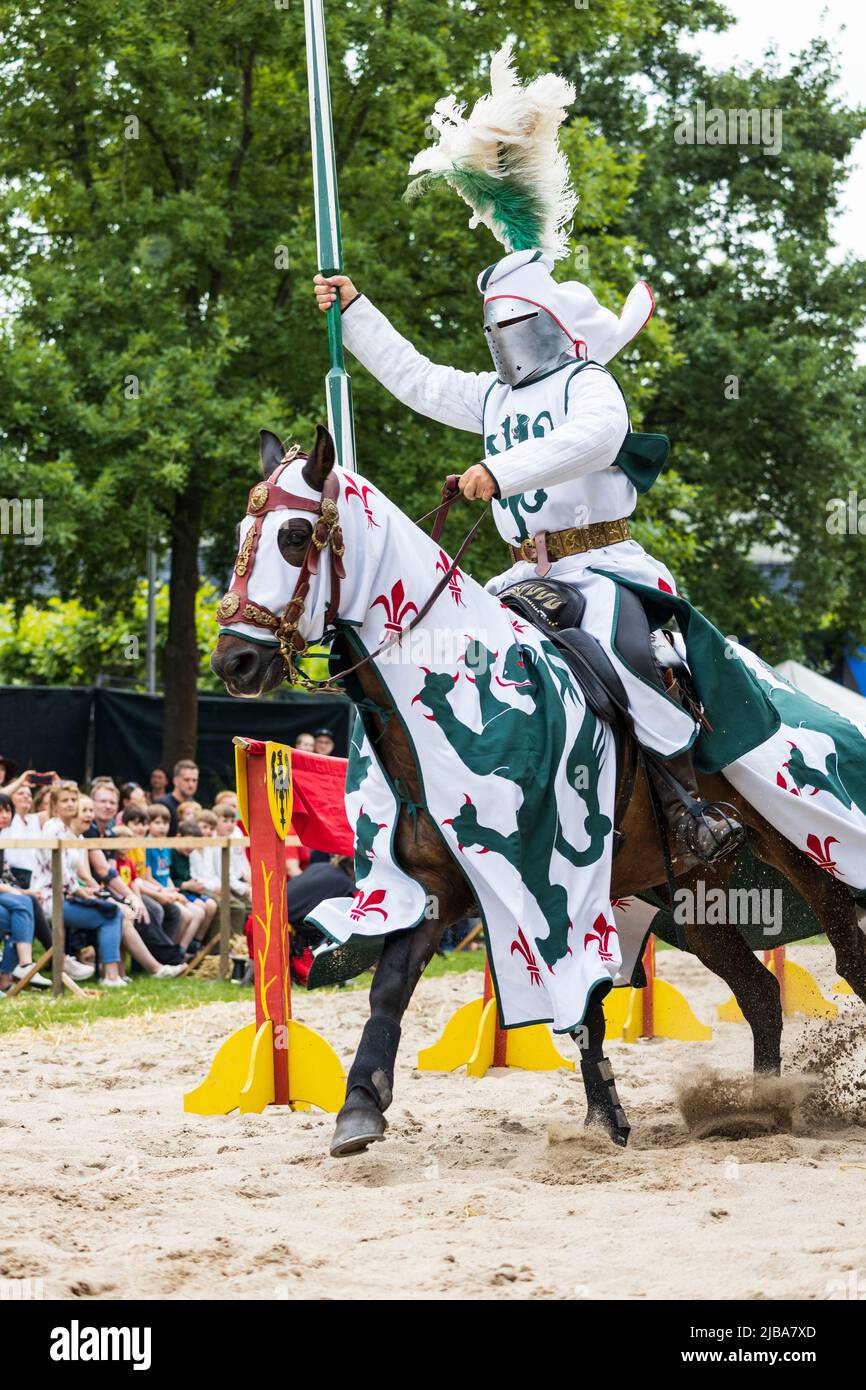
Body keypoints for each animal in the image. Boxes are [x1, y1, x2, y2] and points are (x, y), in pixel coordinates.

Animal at [211, 428, 866, 1156]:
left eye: (296, 535)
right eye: (238, 533)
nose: (234, 662)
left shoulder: (552, 887)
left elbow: (580, 1004)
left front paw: (604, 1119)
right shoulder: (436, 888)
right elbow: (389, 988)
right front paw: (358, 1109)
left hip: (805, 848)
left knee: (848, 954)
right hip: (693, 897)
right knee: (759, 993)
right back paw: (757, 1112)